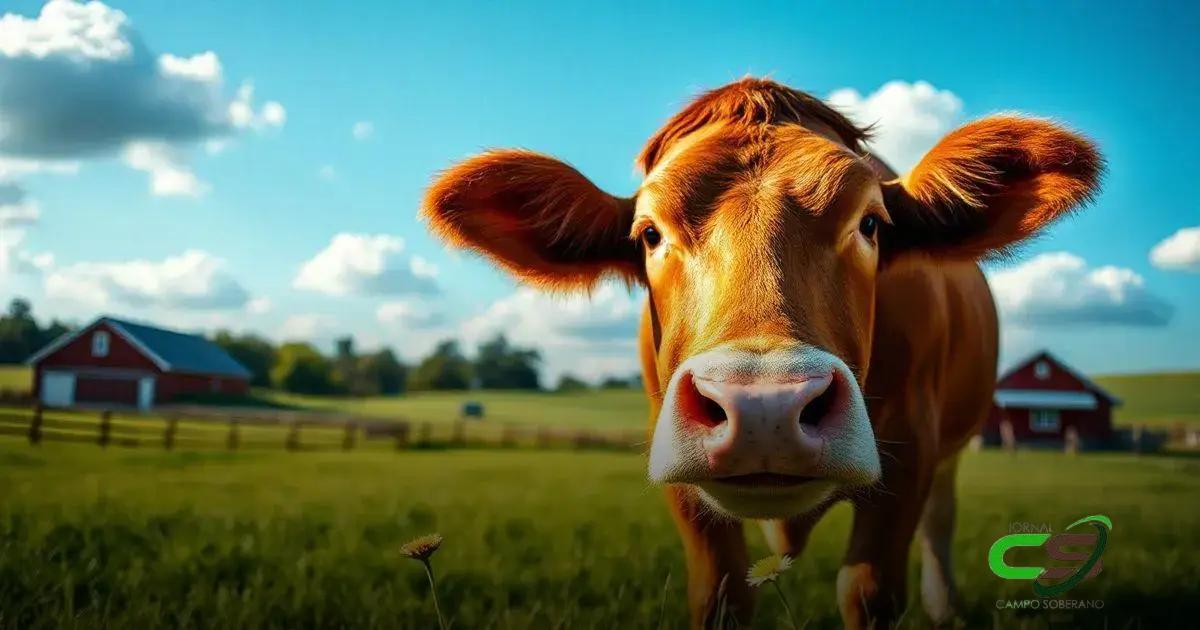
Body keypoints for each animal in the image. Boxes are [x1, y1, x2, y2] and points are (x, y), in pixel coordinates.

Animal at [421, 78, 1102, 628]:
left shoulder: (912, 447)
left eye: (871, 223)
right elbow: (722, 594)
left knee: (941, 519)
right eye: (649, 233)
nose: (764, 408)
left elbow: (867, 591)